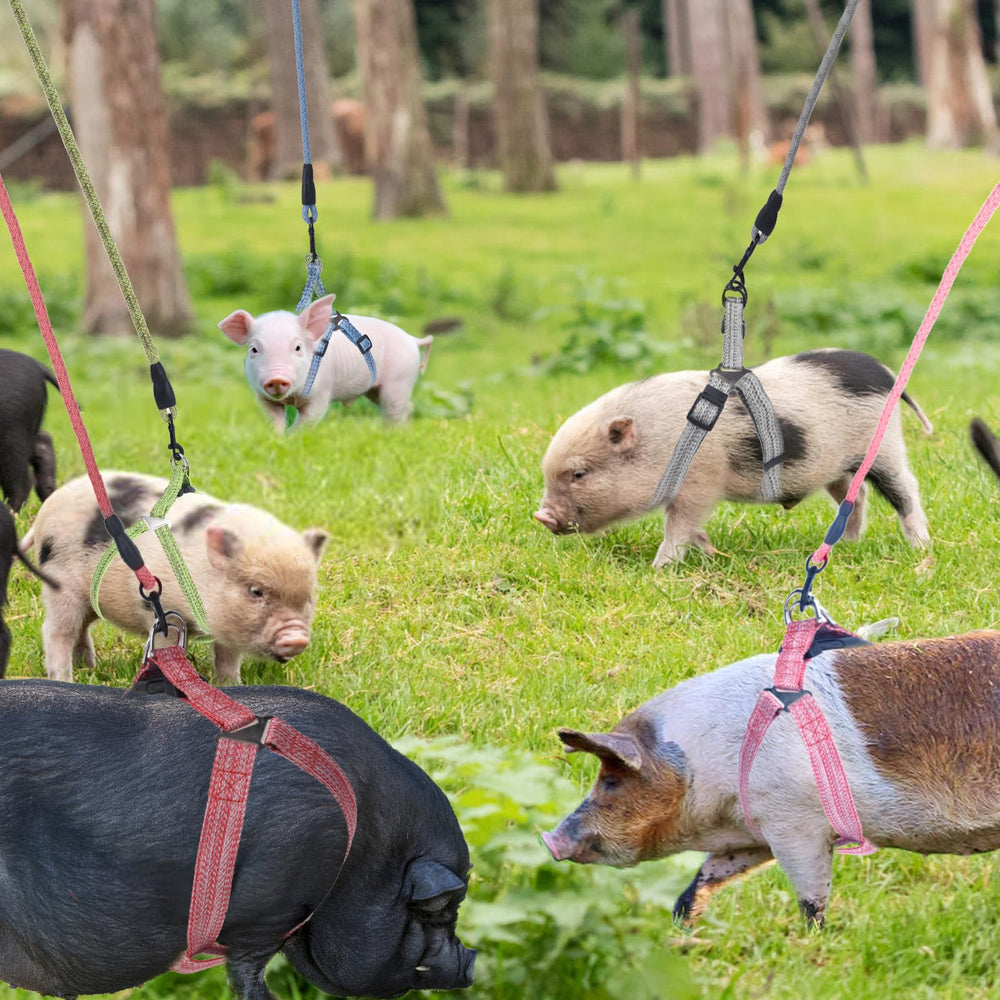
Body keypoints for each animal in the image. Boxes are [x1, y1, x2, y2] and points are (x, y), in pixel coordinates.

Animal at [24, 472, 328, 683]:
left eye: (308, 597)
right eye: (256, 591)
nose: (297, 637)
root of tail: (43, 513)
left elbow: (227, 658)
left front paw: (232, 684)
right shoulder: (160, 611)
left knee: (81, 628)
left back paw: (89, 667)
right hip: (60, 585)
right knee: (56, 631)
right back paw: (65, 679)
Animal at [218, 293, 433, 431]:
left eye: (297, 348)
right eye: (254, 349)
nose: (277, 378)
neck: (292, 397)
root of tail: (412, 339)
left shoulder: (321, 394)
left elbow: (307, 421)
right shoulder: (263, 398)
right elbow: (275, 422)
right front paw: (278, 441)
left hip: (399, 380)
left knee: (393, 410)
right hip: (376, 390)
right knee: (406, 407)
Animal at [534, 349, 932, 568]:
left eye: (579, 474)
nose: (541, 515)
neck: (661, 441)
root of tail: (886, 374)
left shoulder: (700, 482)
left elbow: (678, 526)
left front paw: (659, 568)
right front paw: (706, 548)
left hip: (885, 447)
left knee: (906, 491)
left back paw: (920, 547)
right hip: (835, 465)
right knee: (855, 495)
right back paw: (846, 545)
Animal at [543, 630, 1000, 928]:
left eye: (612, 782)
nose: (549, 839)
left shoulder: (796, 822)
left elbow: (811, 895)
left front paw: (812, 940)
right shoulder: (753, 834)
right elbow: (706, 876)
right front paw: (681, 930)